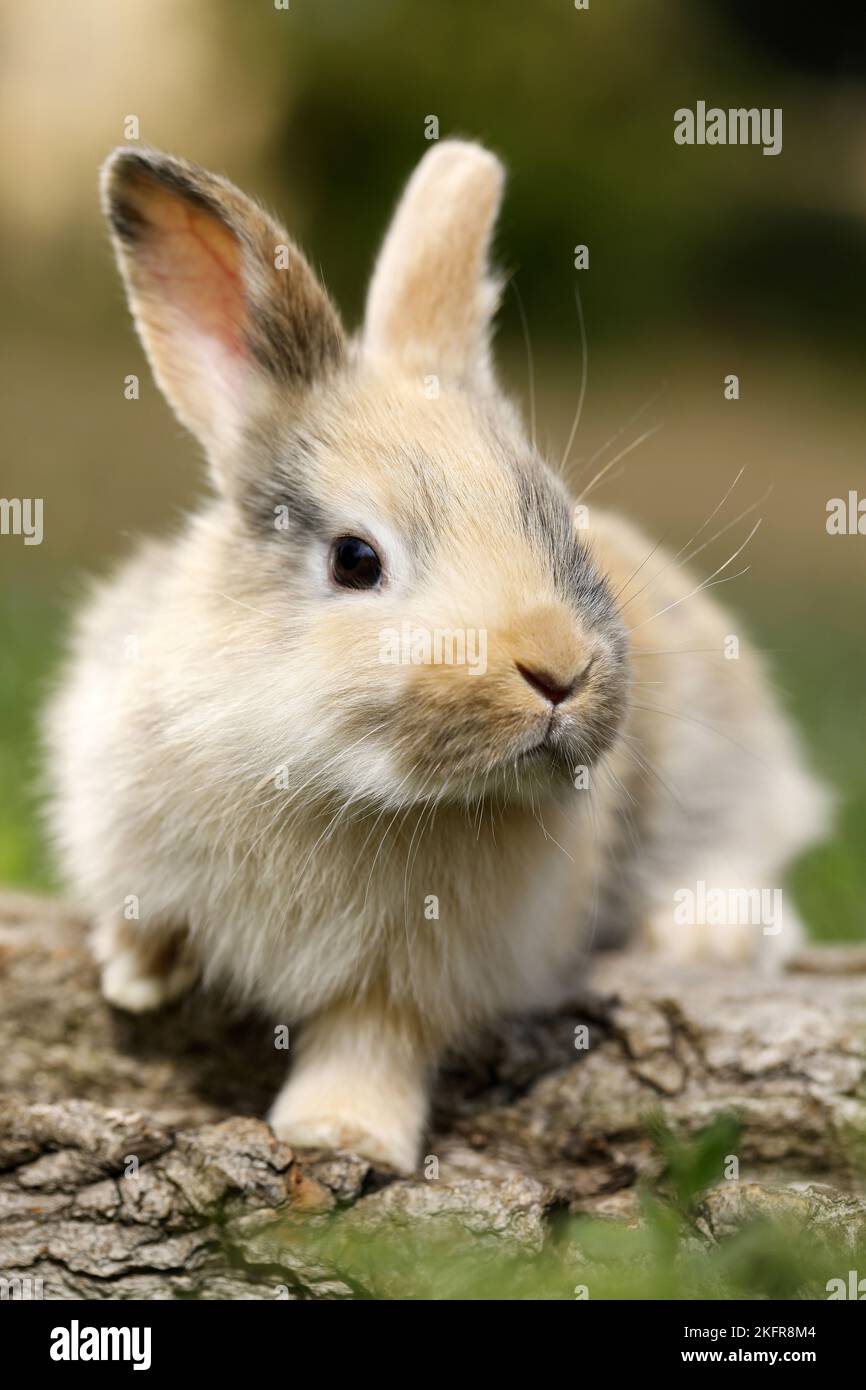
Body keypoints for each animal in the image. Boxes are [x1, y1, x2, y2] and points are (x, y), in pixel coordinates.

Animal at [43, 139, 829, 1174]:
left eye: (558, 519)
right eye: (355, 559)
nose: (557, 669)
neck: (339, 783)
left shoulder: (416, 978)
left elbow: (372, 1040)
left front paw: (341, 1135)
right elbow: (145, 914)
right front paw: (136, 977)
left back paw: (715, 941)